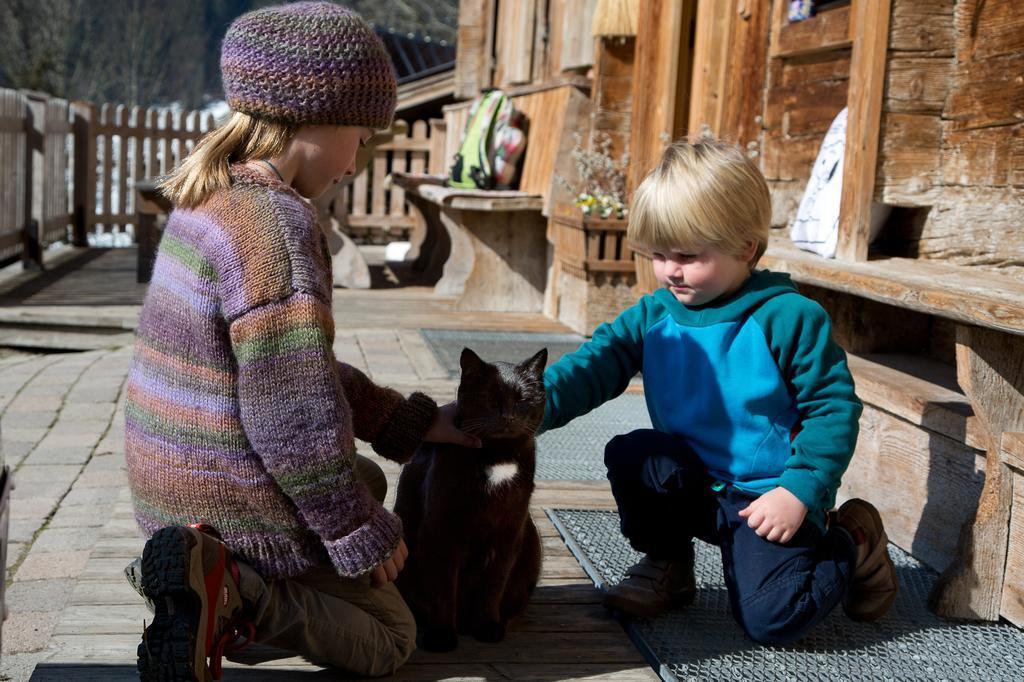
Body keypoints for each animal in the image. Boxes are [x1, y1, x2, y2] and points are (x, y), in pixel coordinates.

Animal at [393, 348, 552, 651]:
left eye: (522, 400)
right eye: (491, 399)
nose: (508, 416)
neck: (497, 457)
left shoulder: (509, 532)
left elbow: (493, 586)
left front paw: (487, 627)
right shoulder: (441, 532)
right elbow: (443, 589)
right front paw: (442, 636)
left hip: (530, 544)